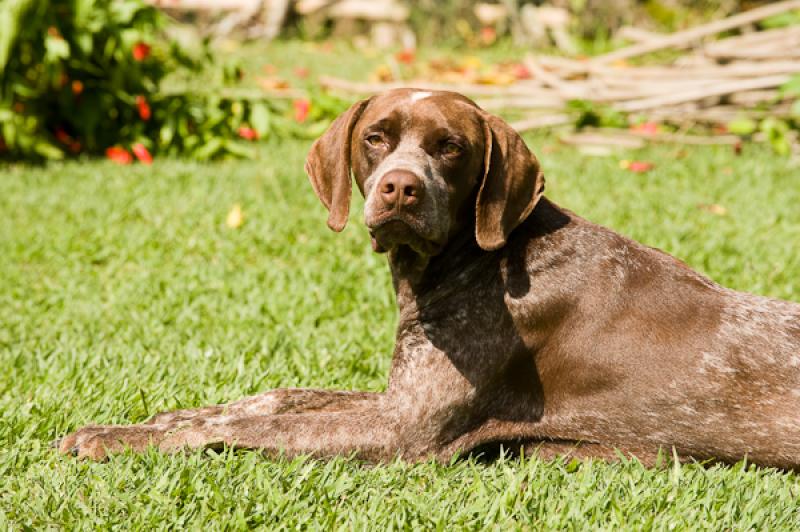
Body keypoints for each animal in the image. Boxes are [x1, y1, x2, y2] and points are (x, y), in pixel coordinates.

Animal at [57, 89, 800, 468]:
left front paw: (126, 439)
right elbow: (274, 399)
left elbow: (245, 429)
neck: (483, 261)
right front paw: (167, 415)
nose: (400, 189)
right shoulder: (396, 396)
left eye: (450, 147)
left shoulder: (403, 429)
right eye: (375, 139)